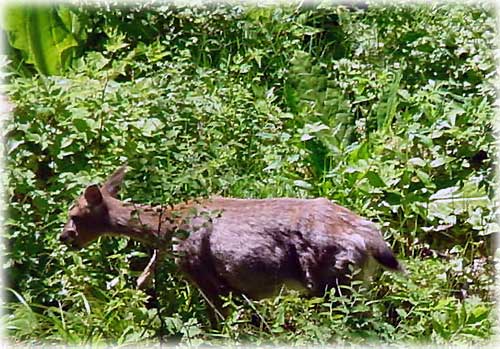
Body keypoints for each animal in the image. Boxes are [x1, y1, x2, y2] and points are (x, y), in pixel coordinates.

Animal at [60, 164, 406, 324]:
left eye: (74, 214)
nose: (64, 237)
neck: (169, 228)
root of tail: (370, 235)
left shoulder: (202, 272)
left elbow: (220, 322)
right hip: (353, 279)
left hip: (333, 278)